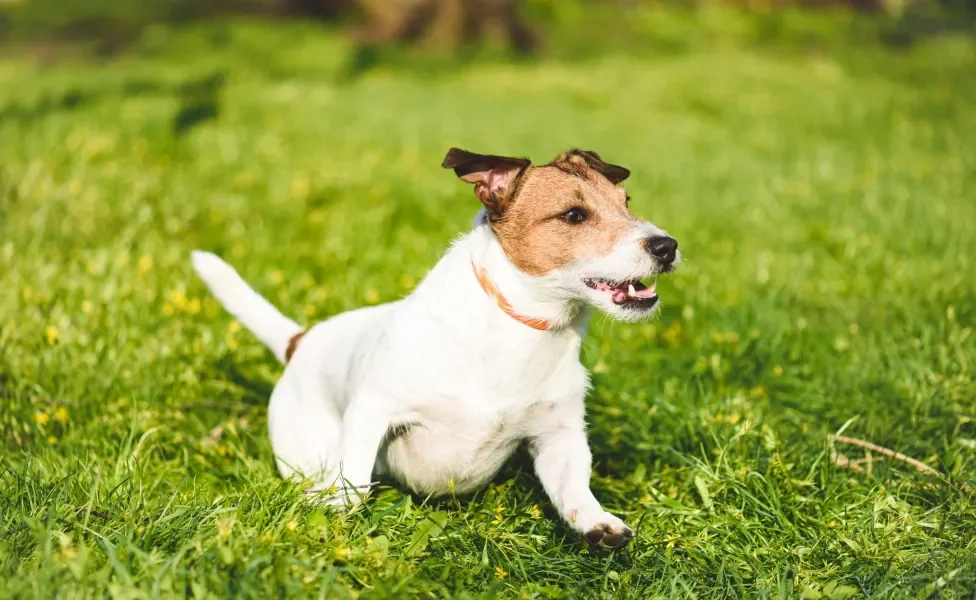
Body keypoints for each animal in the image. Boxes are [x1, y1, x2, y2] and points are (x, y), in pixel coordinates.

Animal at [191, 148, 680, 552]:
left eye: (627, 202)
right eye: (574, 214)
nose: (667, 245)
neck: (521, 328)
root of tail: (302, 340)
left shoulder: (559, 434)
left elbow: (574, 486)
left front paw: (598, 523)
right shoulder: (374, 409)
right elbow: (356, 481)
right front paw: (339, 507)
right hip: (308, 449)